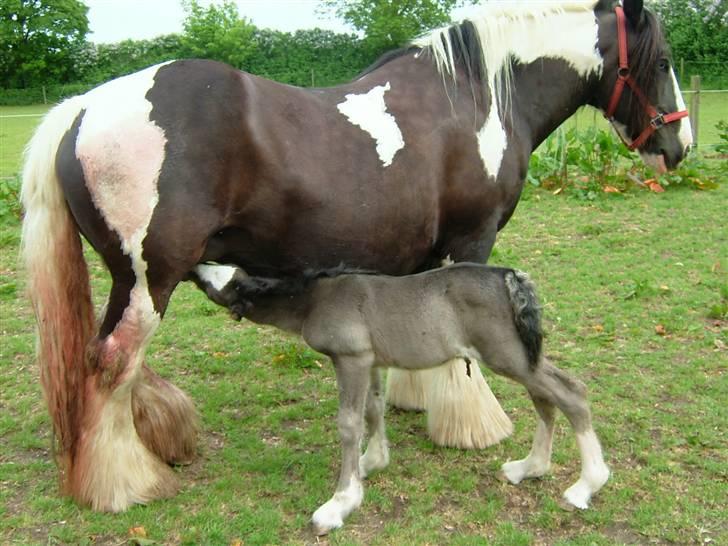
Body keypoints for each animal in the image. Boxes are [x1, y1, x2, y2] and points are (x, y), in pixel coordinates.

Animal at [21, 0, 688, 520]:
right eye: (661, 62)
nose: (678, 145)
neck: (473, 99)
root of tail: (82, 108)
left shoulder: (417, 259)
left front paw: (412, 401)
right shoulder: (472, 242)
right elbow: (463, 356)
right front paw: (471, 423)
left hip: (132, 281)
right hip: (147, 280)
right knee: (113, 364)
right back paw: (125, 484)